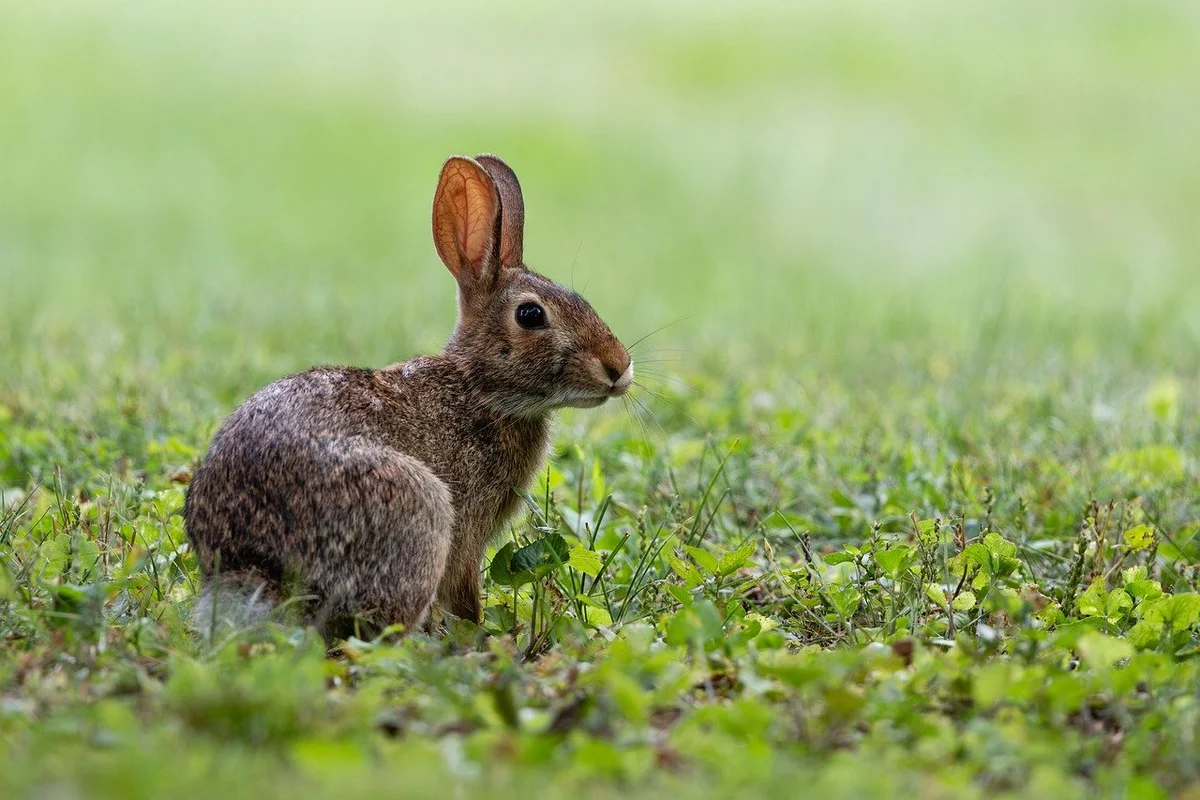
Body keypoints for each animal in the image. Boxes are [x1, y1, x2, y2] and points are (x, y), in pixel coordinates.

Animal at [183, 154, 632, 639]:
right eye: (530, 315)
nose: (619, 368)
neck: (479, 389)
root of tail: (254, 571)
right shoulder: (466, 528)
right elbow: (463, 591)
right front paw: (481, 634)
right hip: (420, 508)